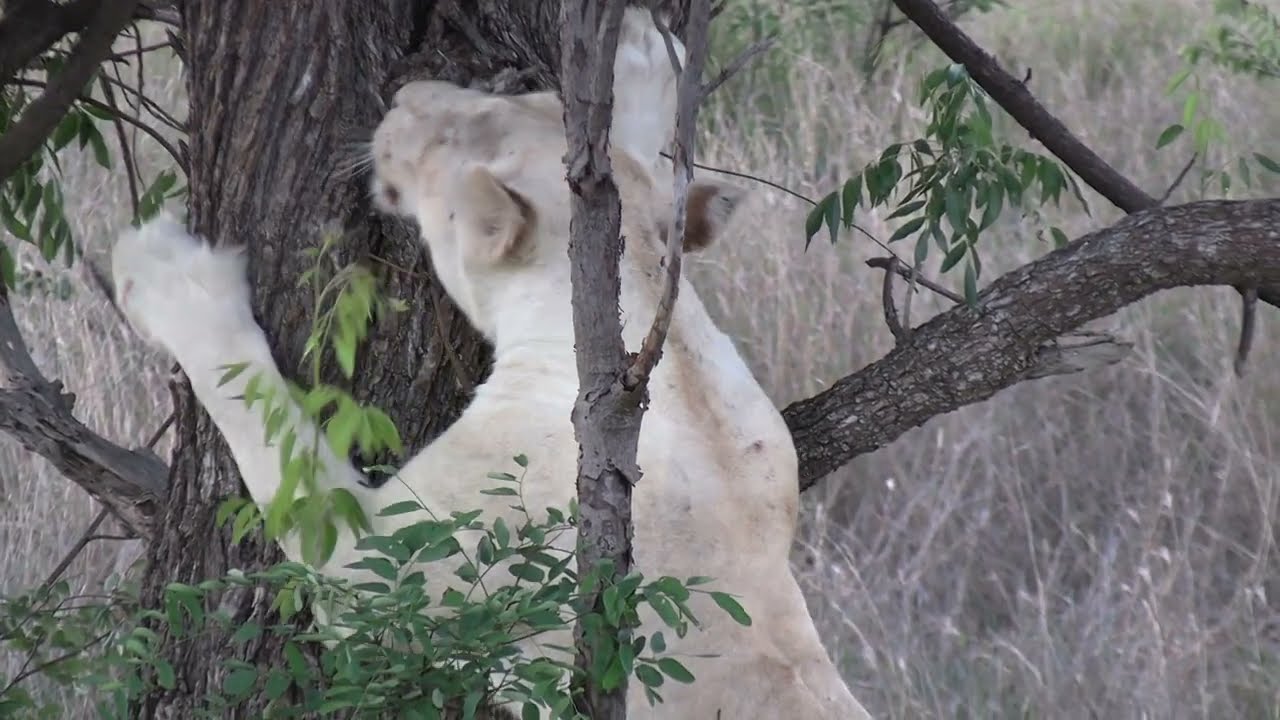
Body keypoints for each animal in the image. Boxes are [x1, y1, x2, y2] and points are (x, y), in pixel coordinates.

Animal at [111, 8, 871, 719]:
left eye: (447, 139)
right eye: (522, 94)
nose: (404, 93)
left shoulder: (392, 572)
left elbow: (273, 436)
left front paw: (165, 275)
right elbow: (634, 166)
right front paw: (641, 52)